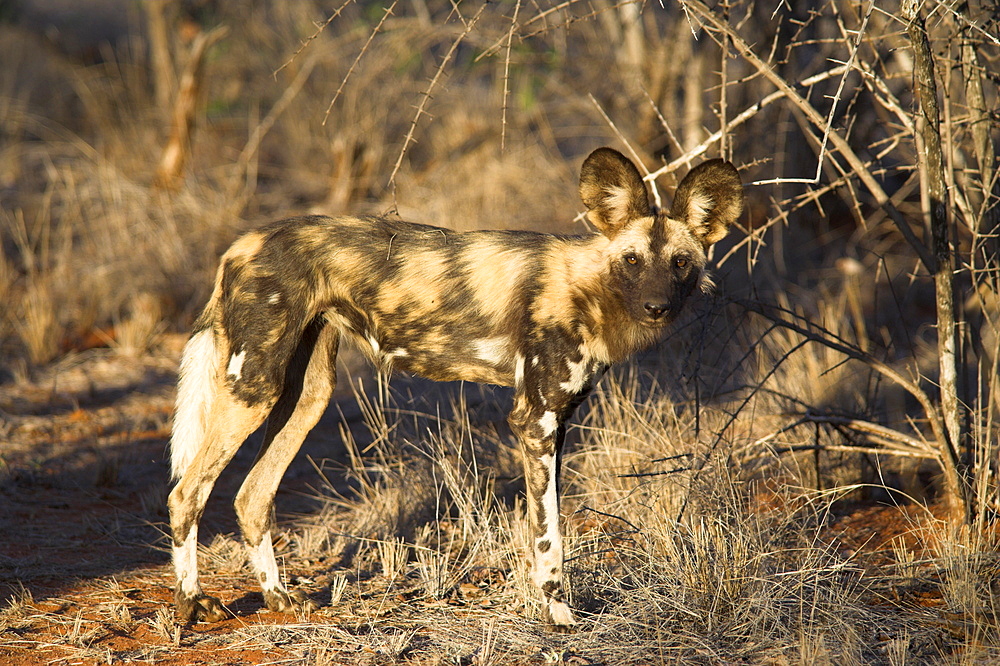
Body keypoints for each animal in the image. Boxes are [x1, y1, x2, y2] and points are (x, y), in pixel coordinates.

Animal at [166, 144, 744, 624]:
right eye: (631, 260)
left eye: (680, 263)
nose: (656, 306)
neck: (588, 289)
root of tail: (242, 243)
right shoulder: (535, 423)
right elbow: (549, 538)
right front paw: (559, 618)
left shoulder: (558, 424)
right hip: (254, 390)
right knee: (185, 493)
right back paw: (192, 604)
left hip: (305, 398)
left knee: (251, 496)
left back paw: (278, 598)